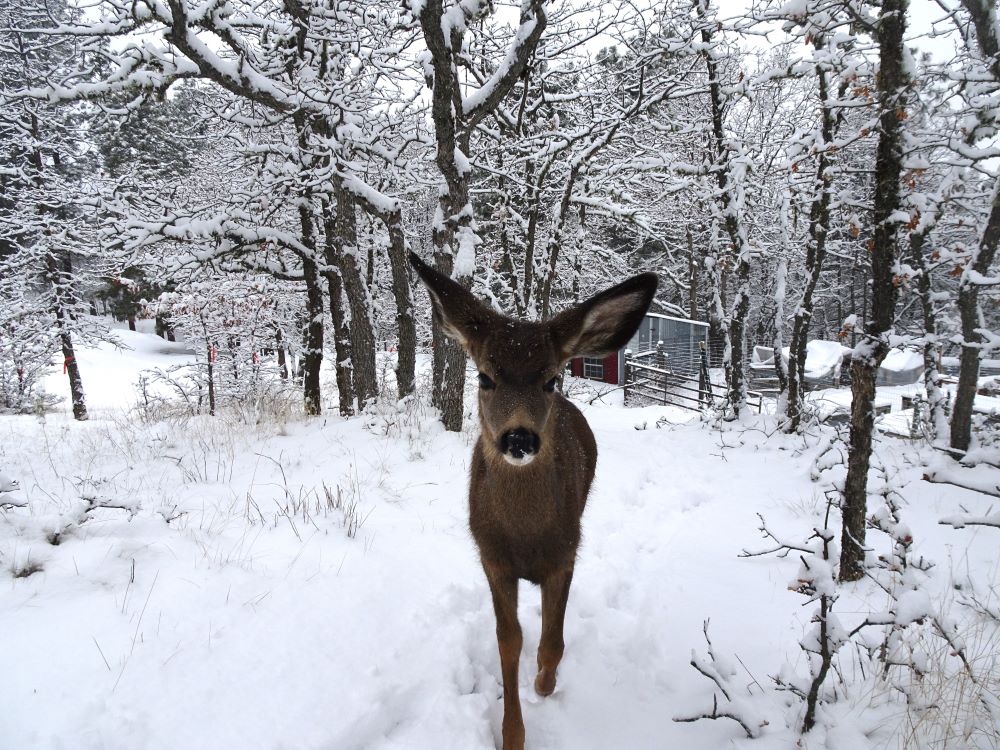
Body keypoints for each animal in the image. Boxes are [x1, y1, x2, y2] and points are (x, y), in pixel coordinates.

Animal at [410, 254, 660, 750]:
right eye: (484, 376)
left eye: (551, 379)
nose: (519, 437)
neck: (524, 536)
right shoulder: (492, 558)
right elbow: (510, 640)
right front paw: (512, 734)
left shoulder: (564, 553)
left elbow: (552, 641)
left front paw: (544, 685)